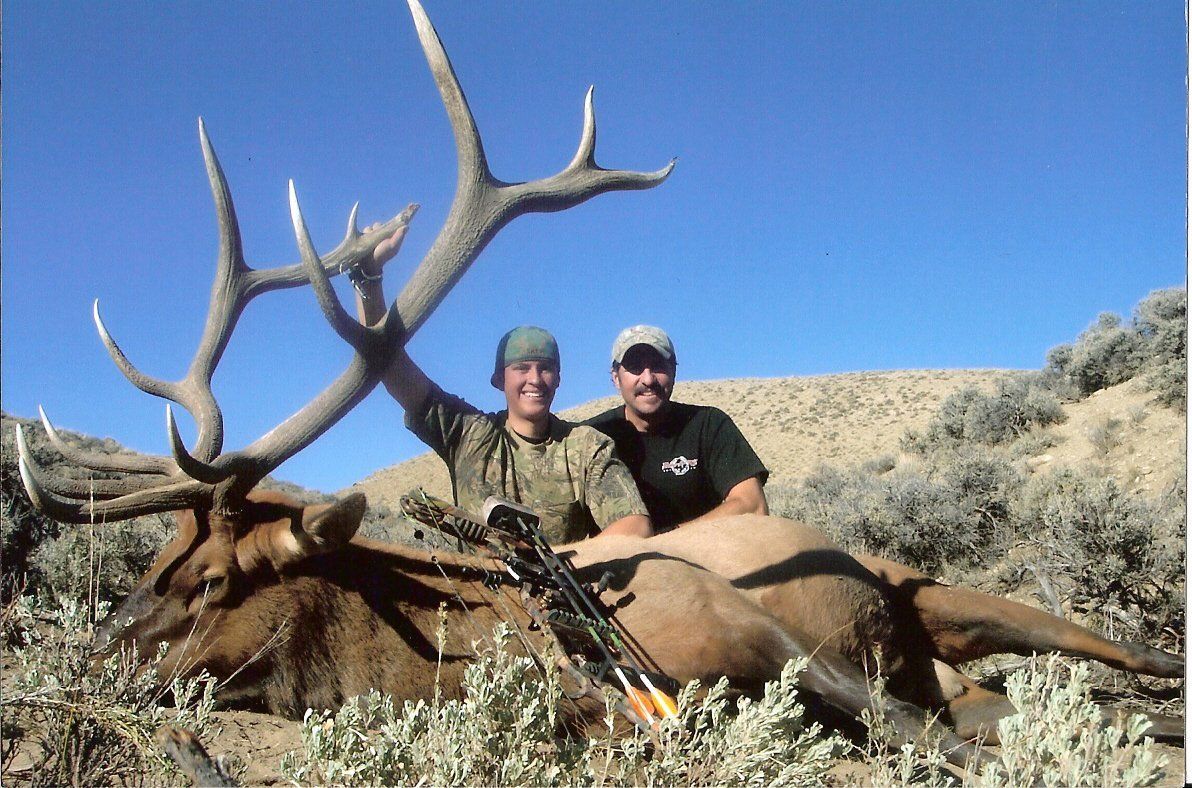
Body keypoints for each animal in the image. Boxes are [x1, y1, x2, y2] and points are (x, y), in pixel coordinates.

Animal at [15, 0, 1182, 770]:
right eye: (151, 559)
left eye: (212, 580)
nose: (90, 658)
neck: (483, 634)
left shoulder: (761, 636)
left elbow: (918, 738)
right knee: (1029, 692)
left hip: (947, 593)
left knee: (1128, 655)